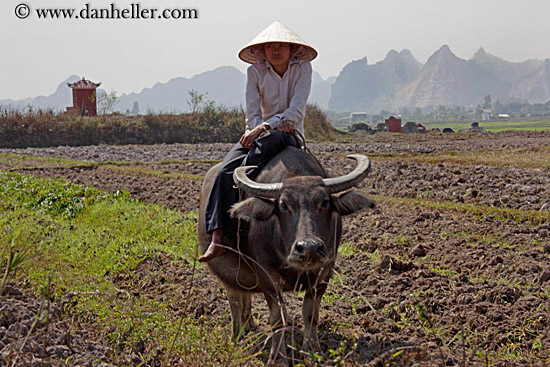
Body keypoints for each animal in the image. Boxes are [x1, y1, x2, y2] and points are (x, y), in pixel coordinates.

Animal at [198, 144, 376, 366]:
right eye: (283, 205)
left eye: (325, 202)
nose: (309, 248)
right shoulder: (267, 277)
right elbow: (277, 318)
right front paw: (278, 357)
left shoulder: (324, 273)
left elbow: (310, 315)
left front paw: (313, 352)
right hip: (226, 272)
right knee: (234, 299)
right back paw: (237, 336)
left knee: (245, 296)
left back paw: (250, 325)